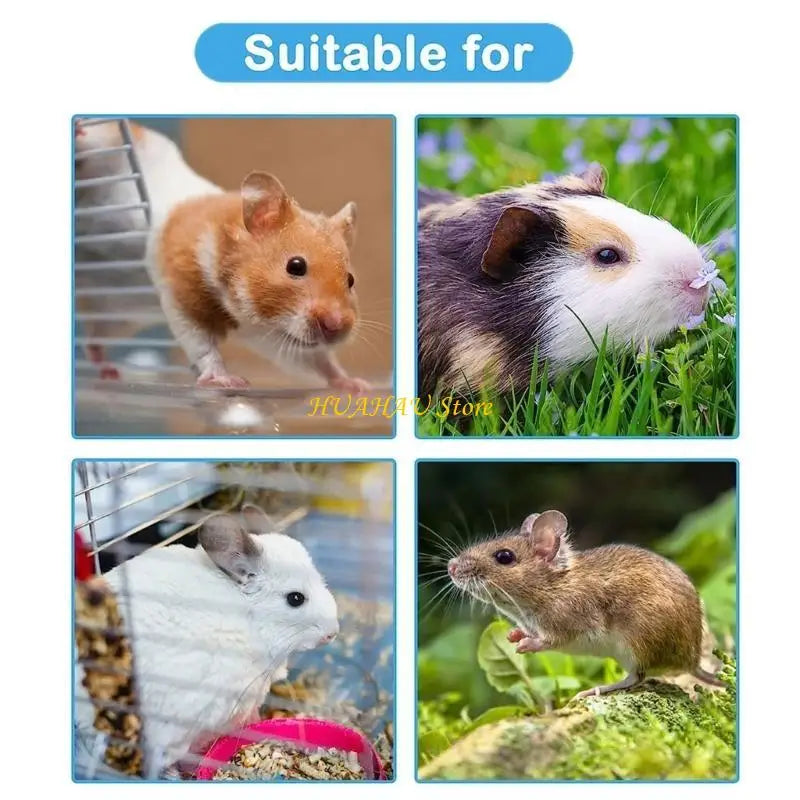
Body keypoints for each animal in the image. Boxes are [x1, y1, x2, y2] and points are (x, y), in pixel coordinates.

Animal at [74, 119, 368, 392]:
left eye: (351, 280)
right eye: (295, 266)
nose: (337, 326)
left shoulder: (269, 336)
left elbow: (318, 360)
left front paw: (356, 385)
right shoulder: (182, 293)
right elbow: (202, 345)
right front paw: (230, 381)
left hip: (120, 315)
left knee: (93, 339)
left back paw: (109, 371)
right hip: (111, 146)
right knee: (91, 146)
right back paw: (80, 130)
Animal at [447, 509, 724, 699]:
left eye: (504, 556)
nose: (450, 566)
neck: (552, 585)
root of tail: (692, 662)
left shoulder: (566, 625)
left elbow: (547, 641)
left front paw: (525, 645)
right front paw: (513, 635)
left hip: (634, 644)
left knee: (635, 678)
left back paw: (594, 690)